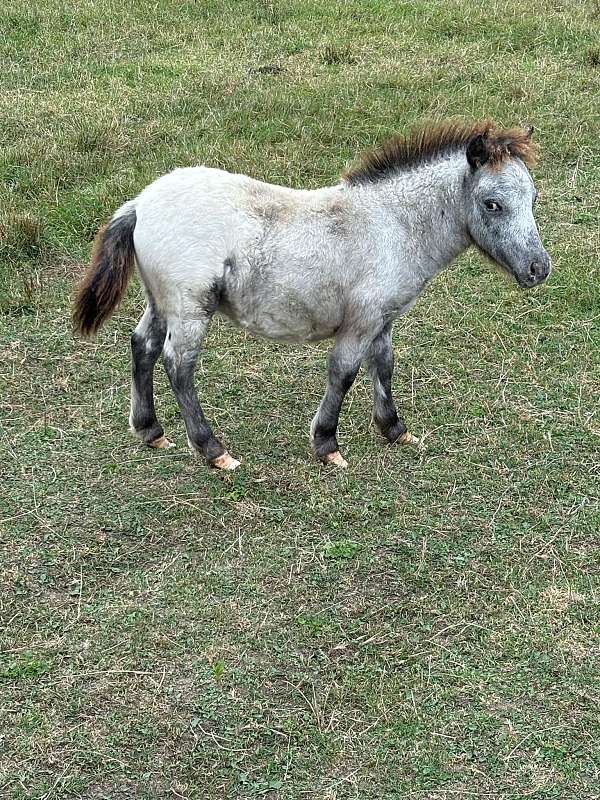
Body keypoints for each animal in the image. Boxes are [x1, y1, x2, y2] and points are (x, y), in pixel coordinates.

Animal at [72, 119, 552, 468]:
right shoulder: (360, 322)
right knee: (178, 364)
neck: (391, 225)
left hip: (162, 302)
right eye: (492, 204)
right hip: (191, 308)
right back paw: (212, 450)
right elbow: (343, 373)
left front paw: (395, 430)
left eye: (532, 198)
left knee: (143, 346)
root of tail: (140, 203)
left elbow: (384, 367)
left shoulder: (382, 320)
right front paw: (327, 445)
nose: (538, 268)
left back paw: (150, 430)